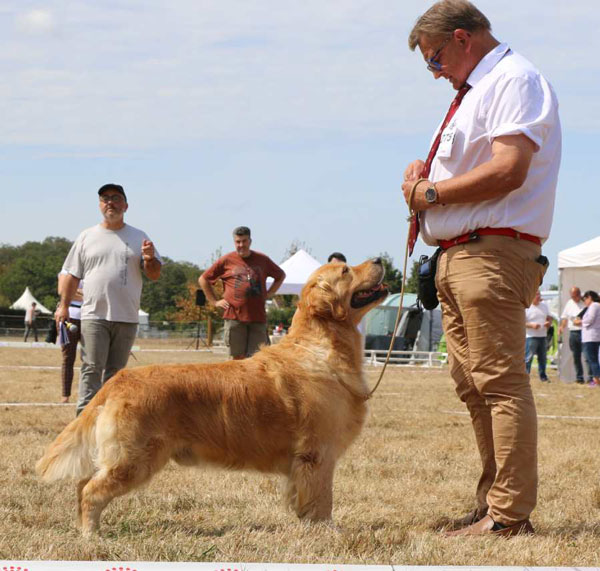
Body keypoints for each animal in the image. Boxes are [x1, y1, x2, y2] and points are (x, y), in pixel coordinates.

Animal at [37, 260, 386, 536]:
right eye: (346, 270)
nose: (380, 260)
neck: (321, 348)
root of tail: (118, 380)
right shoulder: (318, 454)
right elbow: (321, 500)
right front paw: (328, 531)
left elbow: (301, 499)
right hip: (133, 459)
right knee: (91, 491)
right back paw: (91, 534)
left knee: (83, 485)